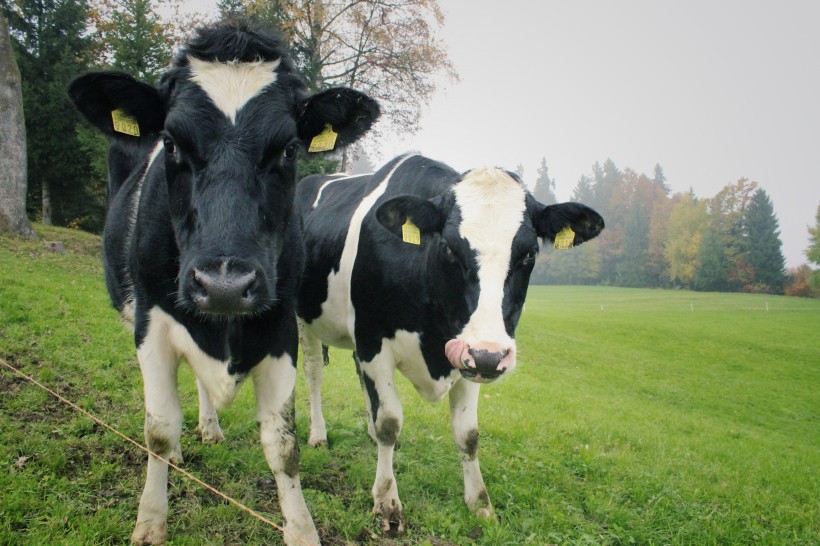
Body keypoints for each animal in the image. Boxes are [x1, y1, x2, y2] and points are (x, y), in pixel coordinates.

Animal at [69, 23, 380, 540]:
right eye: (172, 143)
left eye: (288, 149)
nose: (224, 287)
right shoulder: (151, 325)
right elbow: (158, 429)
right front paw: (150, 522)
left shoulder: (280, 327)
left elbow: (282, 444)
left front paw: (301, 529)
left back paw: (210, 428)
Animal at [294, 152, 604, 532]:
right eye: (448, 247)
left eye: (530, 254)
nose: (491, 356)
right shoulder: (374, 341)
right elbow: (390, 422)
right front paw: (386, 501)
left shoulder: (470, 357)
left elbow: (467, 434)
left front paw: (480, 503)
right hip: (304, 318)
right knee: (313, 374)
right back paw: (318, 434)